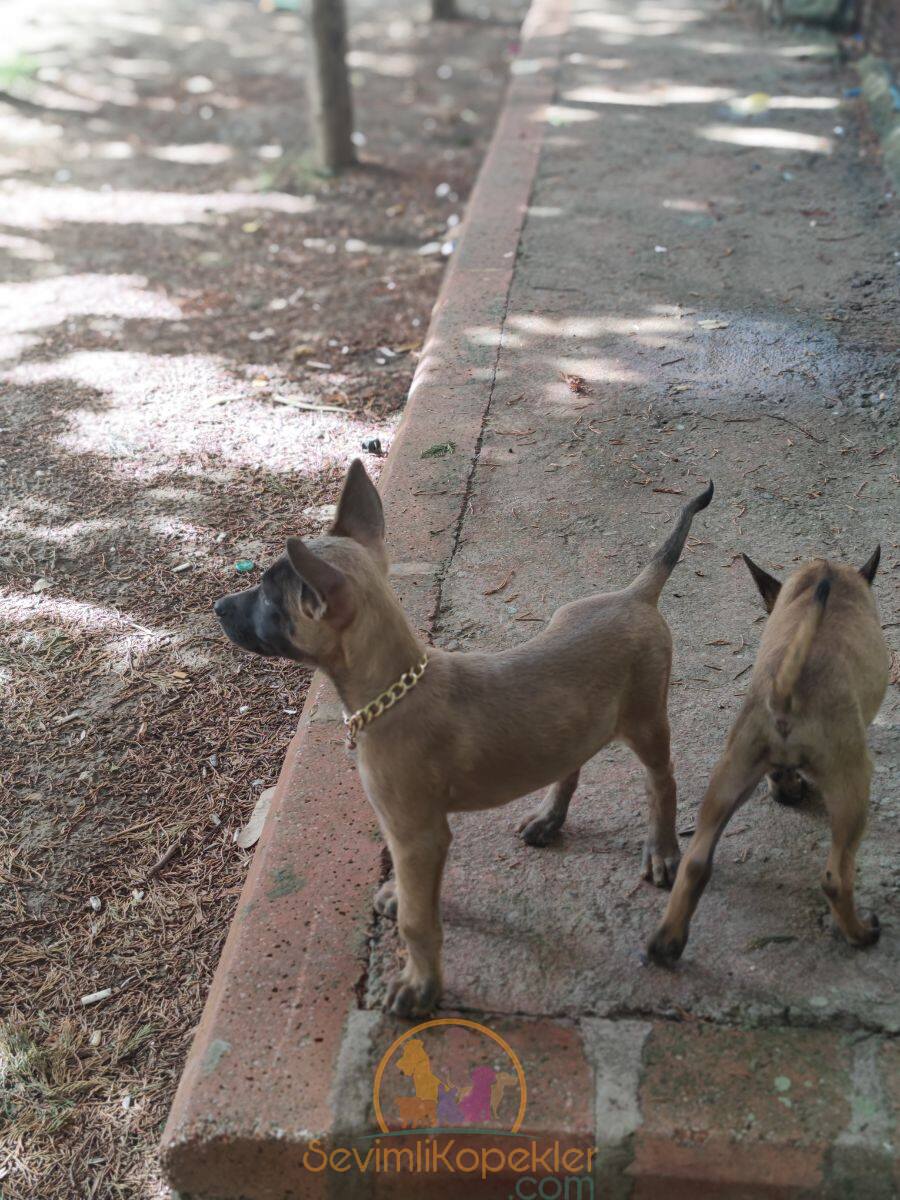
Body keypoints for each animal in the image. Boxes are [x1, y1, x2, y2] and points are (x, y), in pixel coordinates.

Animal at [214, 456, 715, 1012]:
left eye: (268, 599)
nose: (218, 607)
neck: (395, 689)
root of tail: (635, 594)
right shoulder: (408, 829)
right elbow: (412, 891)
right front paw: (401, 900)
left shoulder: (419, 833)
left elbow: (418, 922)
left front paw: (420, 986)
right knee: (572, 763)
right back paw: (549, 818)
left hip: (647, 720)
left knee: (662, 781)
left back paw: (662, 850)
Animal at [648, 544, 888, 964]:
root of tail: (787, 693)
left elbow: (781, 776)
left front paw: (787, 789)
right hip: (851, 786)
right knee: (836, 878)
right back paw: (859, 932)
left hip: (731, 774)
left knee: (695, 863)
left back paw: (666, 944)